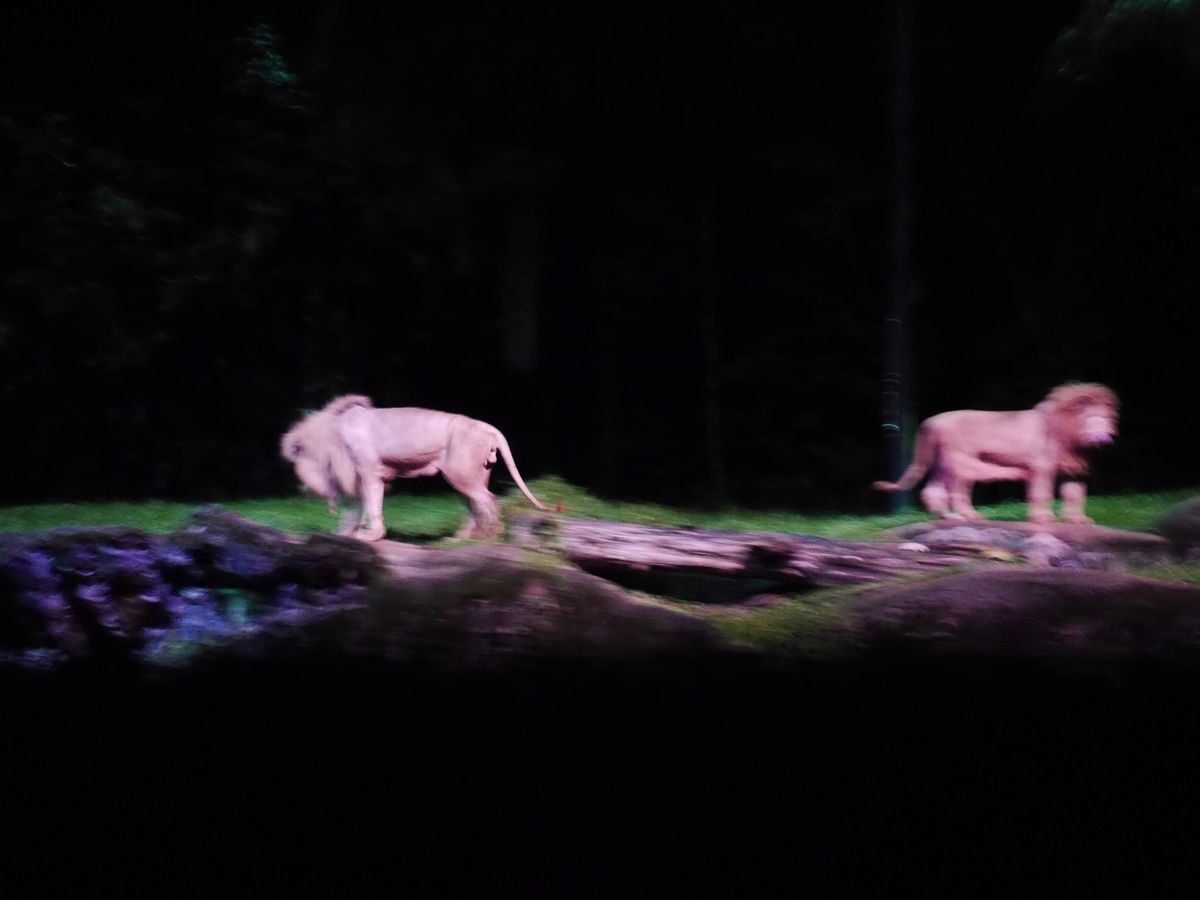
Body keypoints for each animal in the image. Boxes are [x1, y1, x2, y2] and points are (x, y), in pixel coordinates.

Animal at [281, 395, 561, 541]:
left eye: (298, 453)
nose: (300, 485)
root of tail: (489, 427)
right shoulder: (357, 476)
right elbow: (355, 509)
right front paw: (344, 533)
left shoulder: (369, 472)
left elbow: (372, 505)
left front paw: (371, 535)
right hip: (468, 476)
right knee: (473, 504)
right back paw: (459, 538)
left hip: (462, 475)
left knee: (489, 499)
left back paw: (489, 535)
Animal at [872, 382, 1118, 524]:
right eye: (1092, 418)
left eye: (1106, 418)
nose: (1106, 436)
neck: (1072, 437)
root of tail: (930, 422)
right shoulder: (1042, 466)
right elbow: (1042, 492)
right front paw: (1042, 519)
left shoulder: (1074, 469)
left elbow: (1075, 494)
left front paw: (1077, 519)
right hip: (959, 460)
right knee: (957, 491)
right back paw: (970, 516)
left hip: (941, 462)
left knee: (933, 489)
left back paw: (948, 517)